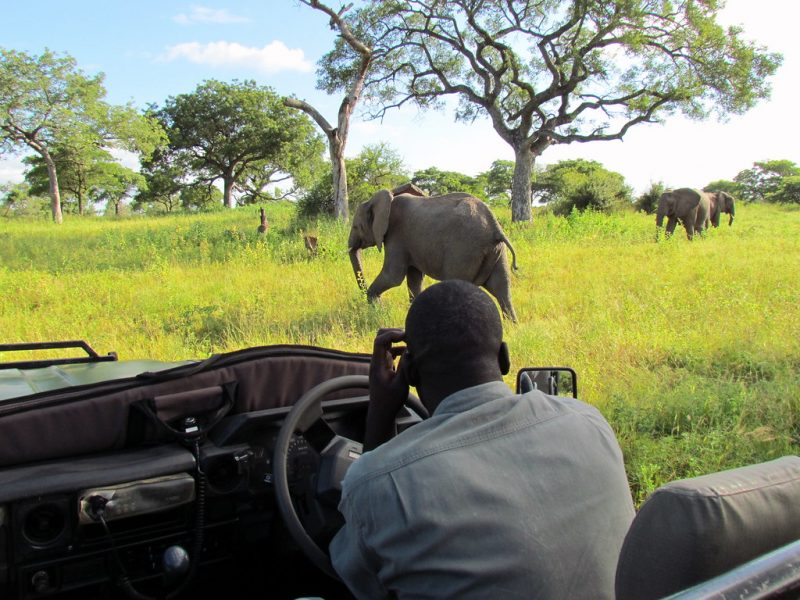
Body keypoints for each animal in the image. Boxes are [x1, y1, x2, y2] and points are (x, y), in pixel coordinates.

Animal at [348, 187, 519, 321]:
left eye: (356, 227)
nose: (380, 307)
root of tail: (495, 227)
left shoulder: (396, 235)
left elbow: (393, 276)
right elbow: (414, 278)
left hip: (464, 250)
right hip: (496, 251)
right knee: (502, 289)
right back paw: (511, 327)